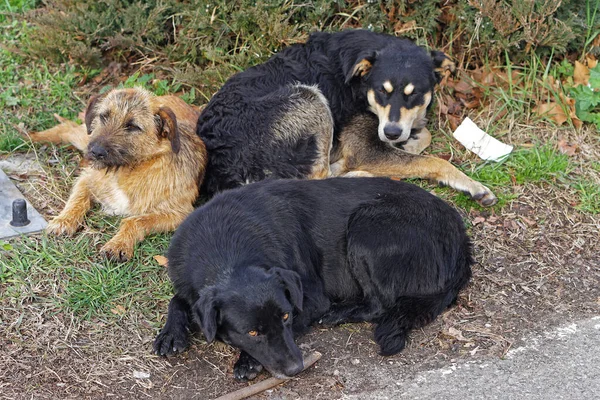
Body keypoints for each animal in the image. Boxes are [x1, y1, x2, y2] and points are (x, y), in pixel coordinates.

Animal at [30, 87, 209, 260]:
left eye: (133, 126)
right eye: (104, 116)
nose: (96, 152)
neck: (126, 170)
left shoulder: (179, 213)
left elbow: (135, 221)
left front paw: (118, 244)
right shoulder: (87, 179)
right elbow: (77, 200)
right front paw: (64, 220)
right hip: (86, 137)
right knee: (68, 129)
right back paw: (30, 136)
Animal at [155, 177, 474, 378]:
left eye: (286, 317)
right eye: (253, 332)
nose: (296, 369)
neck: (225, 245)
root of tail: (461, 240)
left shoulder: (311, 300)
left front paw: (247, 361)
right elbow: (178, 300)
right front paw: (171, 333)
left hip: (365, 226)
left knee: (379, 304)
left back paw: (339, 313)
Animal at [197, 29, 496, 205]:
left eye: (413, 94)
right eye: (382, 91)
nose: (391, 134)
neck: (359, 81)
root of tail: (223, 169)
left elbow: (424, 135)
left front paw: (409, 143)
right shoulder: (367, 148)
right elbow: (435, 161)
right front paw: (473, 186)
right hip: (309, 97)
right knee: (315, 180)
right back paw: (359, 174)